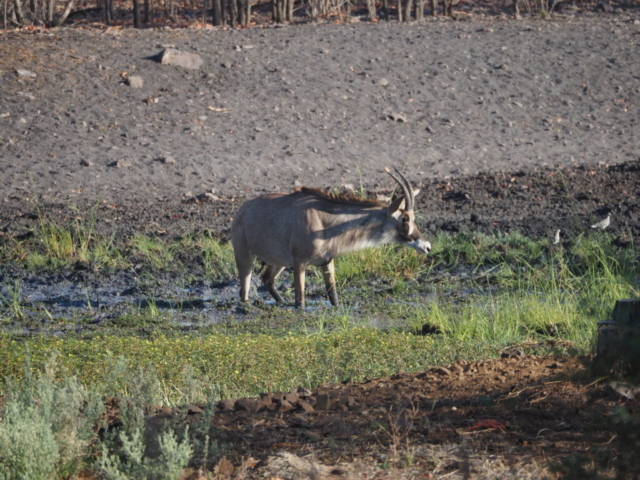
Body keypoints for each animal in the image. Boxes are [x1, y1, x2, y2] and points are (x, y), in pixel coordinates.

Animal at [231, 168, 431, 308]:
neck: (323, 220)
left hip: (280, 262)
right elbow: (300, 301)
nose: (427, 246)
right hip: (245, 257)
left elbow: (333, 296)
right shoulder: (300, 263)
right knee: (244, 291)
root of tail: (243, 210)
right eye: (405, 218)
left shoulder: (327, 261)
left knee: (267, 279)